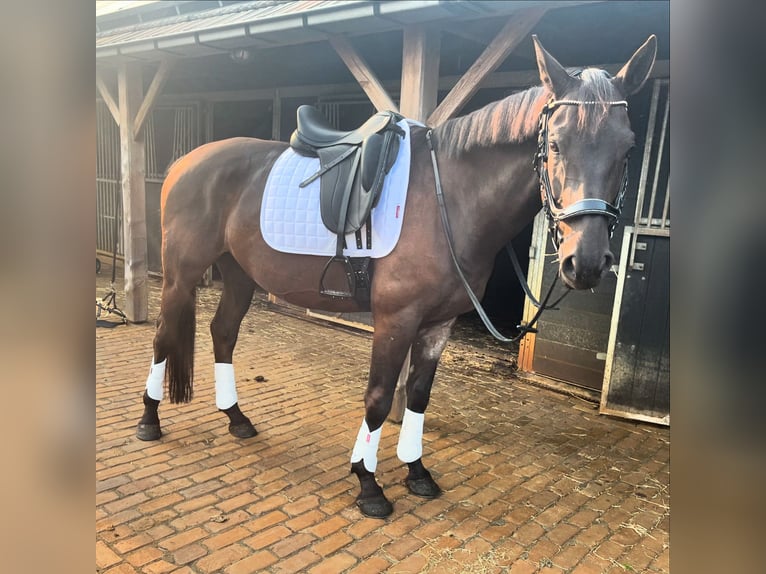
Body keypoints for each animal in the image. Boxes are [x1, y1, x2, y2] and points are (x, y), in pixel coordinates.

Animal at [135, 37, 656, 520]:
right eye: (554, 145)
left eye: (628, 149)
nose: (585, 263)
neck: (450, 199)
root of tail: (185, 163)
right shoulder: (395, 319)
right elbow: (380, 398)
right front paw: (368, 485)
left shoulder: (438, 324)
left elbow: (419, 397)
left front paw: (416, 471)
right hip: (180, 276)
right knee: (163, 338)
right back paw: (150, 421)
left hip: (240, 275)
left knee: (222, 333)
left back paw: (236, 418)